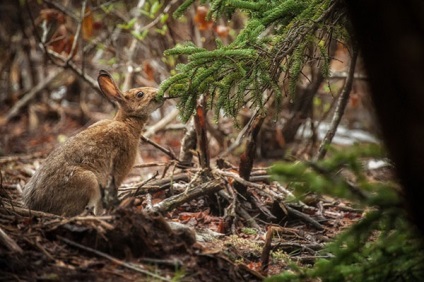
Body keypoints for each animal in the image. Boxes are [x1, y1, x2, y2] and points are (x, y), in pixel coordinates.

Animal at [21, 70, 165, 216]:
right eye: (140, 94)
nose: (159, 93)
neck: (126, 122)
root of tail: (37, 205)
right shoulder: (118, 171)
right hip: (88, 181)